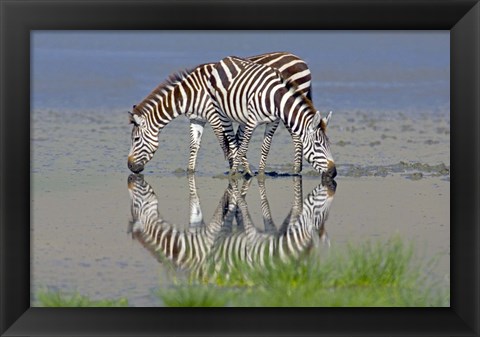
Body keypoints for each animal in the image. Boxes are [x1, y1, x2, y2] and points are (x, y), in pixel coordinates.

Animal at [126, 51, 312, 176]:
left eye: (136, 139)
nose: (130, 167)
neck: (190, 93)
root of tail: (300, 59)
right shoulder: (196, 120)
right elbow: (194, 147)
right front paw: (190, 172)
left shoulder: (215, 116)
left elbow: (226, 145)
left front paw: (240, 171)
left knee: (297, 136)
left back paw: (296, 170)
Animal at [208, 55, 336, 176]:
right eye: (317, 144)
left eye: (329, 144)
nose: (333, 172)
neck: (275, 98)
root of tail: (225, 59)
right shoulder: (252, 121)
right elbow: (244, 147)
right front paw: (233, 174)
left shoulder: (273, 122)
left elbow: (266, 148)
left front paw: (260, 175)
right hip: (221, 112)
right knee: (232, 141)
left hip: (243, 117)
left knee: (237, 139)